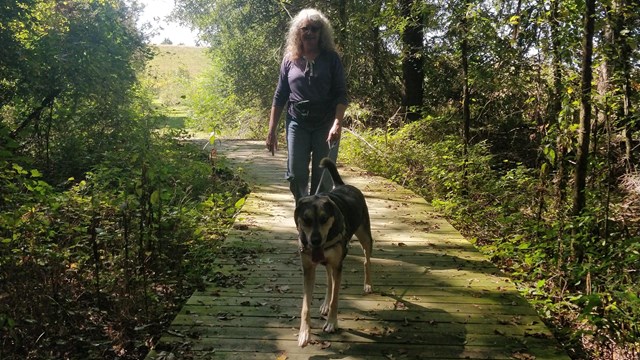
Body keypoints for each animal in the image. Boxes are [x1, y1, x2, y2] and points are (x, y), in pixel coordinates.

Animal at [294, 157, 372, 346]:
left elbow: (336, 298)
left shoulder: (338, 265)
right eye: (306, 219)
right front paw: (304, 333)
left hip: (365, 236)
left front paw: (331, 322)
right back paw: (324, 304)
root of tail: (344, 185)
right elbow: (305, 306)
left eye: (324, 219)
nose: (315, 241)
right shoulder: (308, 269)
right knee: (330, 279)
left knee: (366, 260)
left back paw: (367, 284)